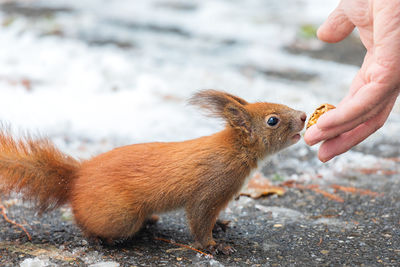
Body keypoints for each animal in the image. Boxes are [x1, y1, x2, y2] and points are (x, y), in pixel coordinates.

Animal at [0, 91, 306, 252]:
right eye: (272, 120)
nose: (304, 116)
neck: (235, 151)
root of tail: (76, 180)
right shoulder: (210, 188)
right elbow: (199, 217)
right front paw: (212, 245)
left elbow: (212, 217)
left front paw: (220, 225)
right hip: (121, 216)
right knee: (88, 224)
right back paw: (99, 238)